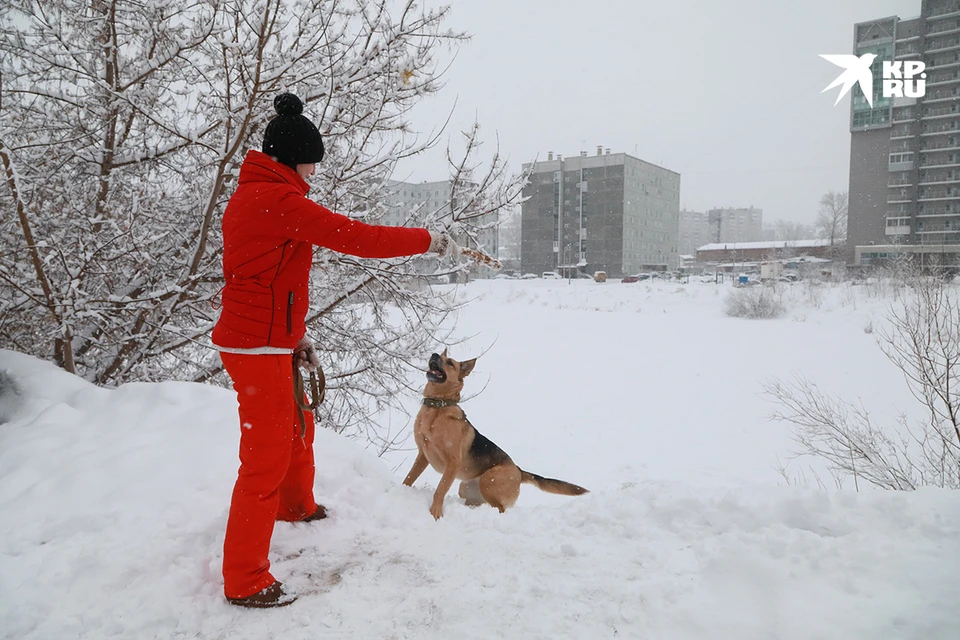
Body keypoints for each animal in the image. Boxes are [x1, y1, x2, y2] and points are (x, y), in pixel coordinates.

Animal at [402, 350, 588, 520]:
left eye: (449, 363)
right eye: (440, 356)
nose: (434, 354)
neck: (437, 407)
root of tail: (519, 471)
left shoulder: (453, 463)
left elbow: (440, 489)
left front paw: (435, 513)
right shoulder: (423, 455)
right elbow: (409, 477)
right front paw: (403, 490)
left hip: (488, 481)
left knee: (501, 508)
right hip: (467, 489)